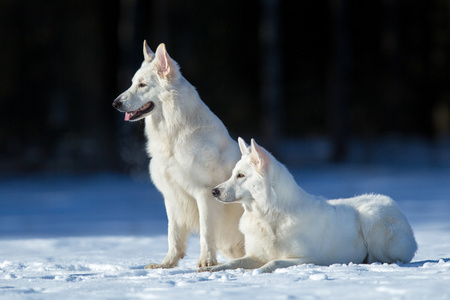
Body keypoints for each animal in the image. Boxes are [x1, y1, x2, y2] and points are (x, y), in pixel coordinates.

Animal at [114, 41, 244, 268]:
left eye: (142, 85)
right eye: (132, 83)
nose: (115, 103)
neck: (174, 136)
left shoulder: (204, 193)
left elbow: (206, 232)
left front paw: (206, 262)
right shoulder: (171, 195)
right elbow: (172, 234)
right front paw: (167, 263)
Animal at [208, 137, 418, 274]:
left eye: (241, 176)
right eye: (233, 174)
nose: (214, 191)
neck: (268, 217)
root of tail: (396, 206)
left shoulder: (307, 259)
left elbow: (273, 263)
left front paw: (256, 272)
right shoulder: (254, 255)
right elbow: (232, 263)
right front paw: (211, 268)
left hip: (371, 220)